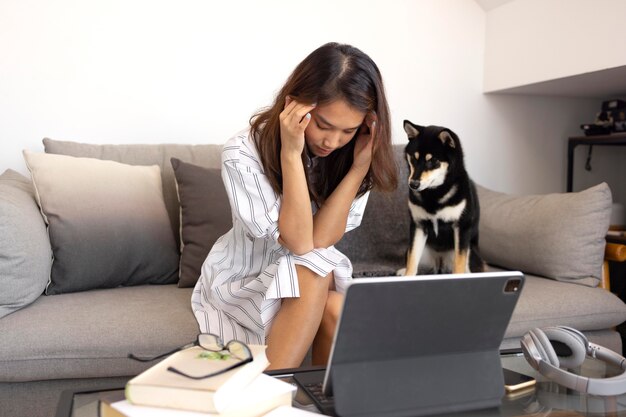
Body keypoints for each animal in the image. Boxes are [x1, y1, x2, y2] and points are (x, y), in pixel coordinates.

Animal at [400, 119, 482, 276]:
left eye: (432, 161)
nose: (413, 184)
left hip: (468, 251)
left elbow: (459, 264)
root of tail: (440, 261)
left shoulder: (461, 227)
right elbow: (412, 261)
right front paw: (407, 276)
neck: (434, 193)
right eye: (414, 158)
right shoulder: (418, 225)